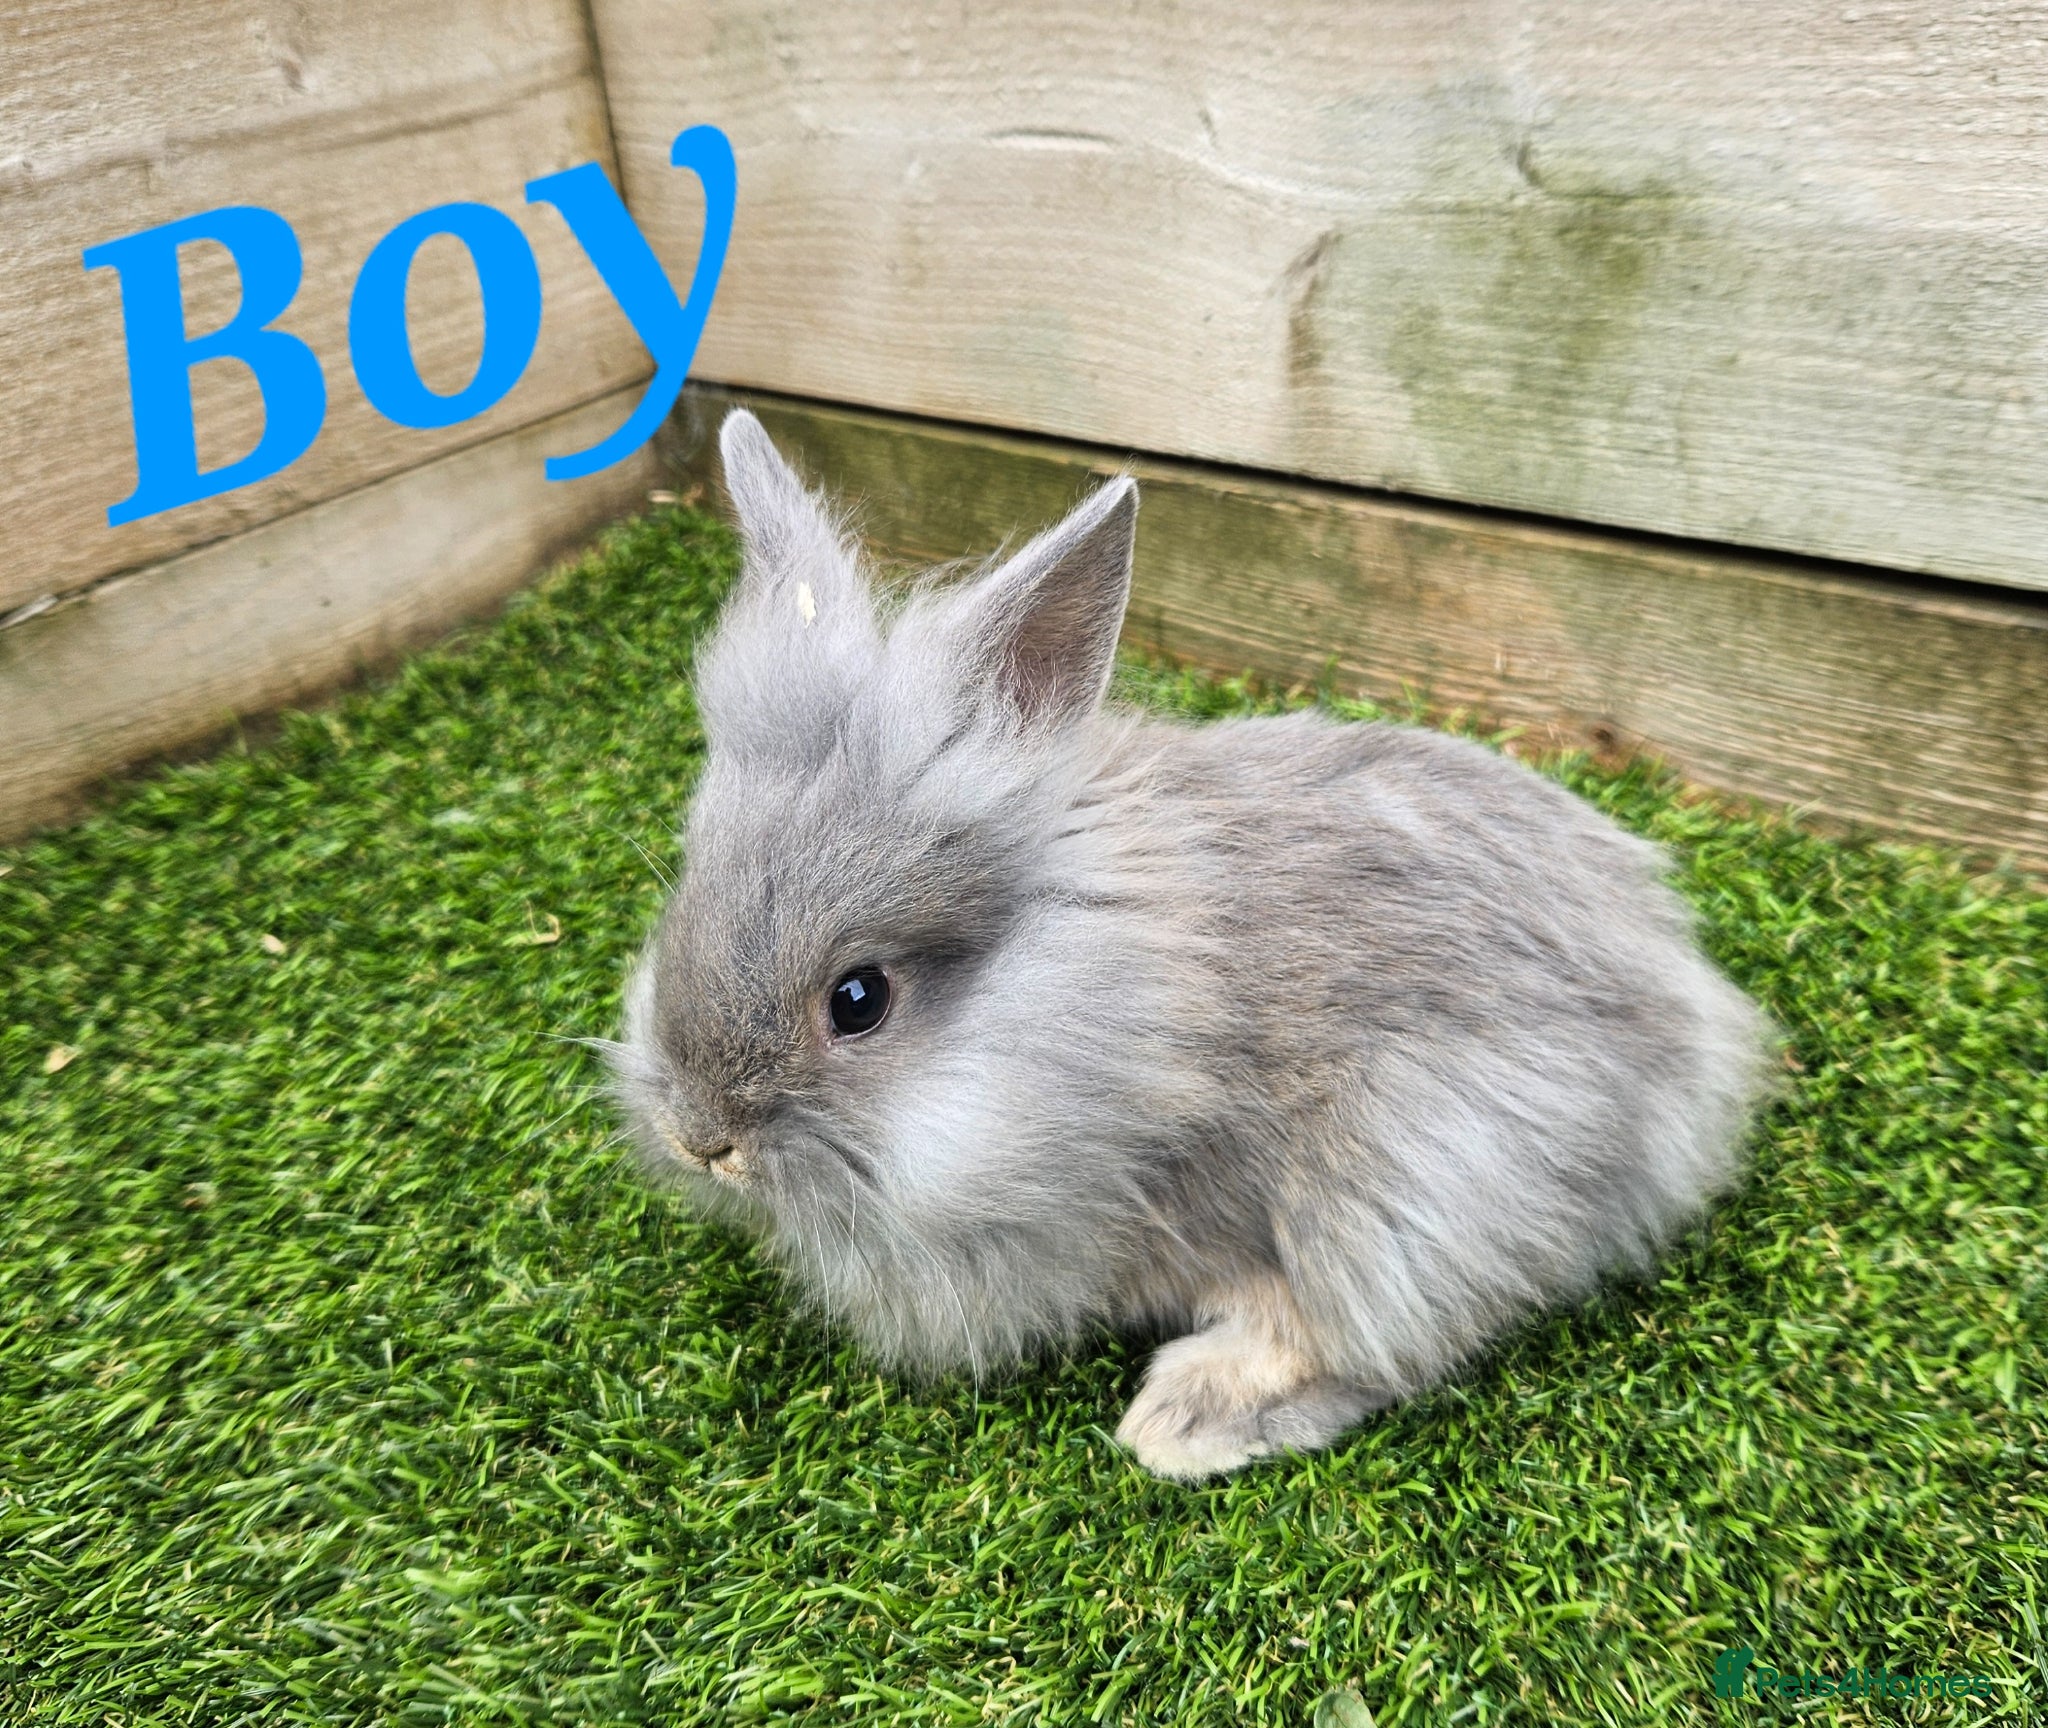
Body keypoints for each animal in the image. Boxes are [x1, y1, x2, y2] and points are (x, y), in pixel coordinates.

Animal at [608, 408, 1774, 1481]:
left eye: (859, 1000)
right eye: (686, 895)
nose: (699, 1138)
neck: (1127, 1005)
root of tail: (1688, 1016)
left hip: (1422, 1176)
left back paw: (1181, 1422)